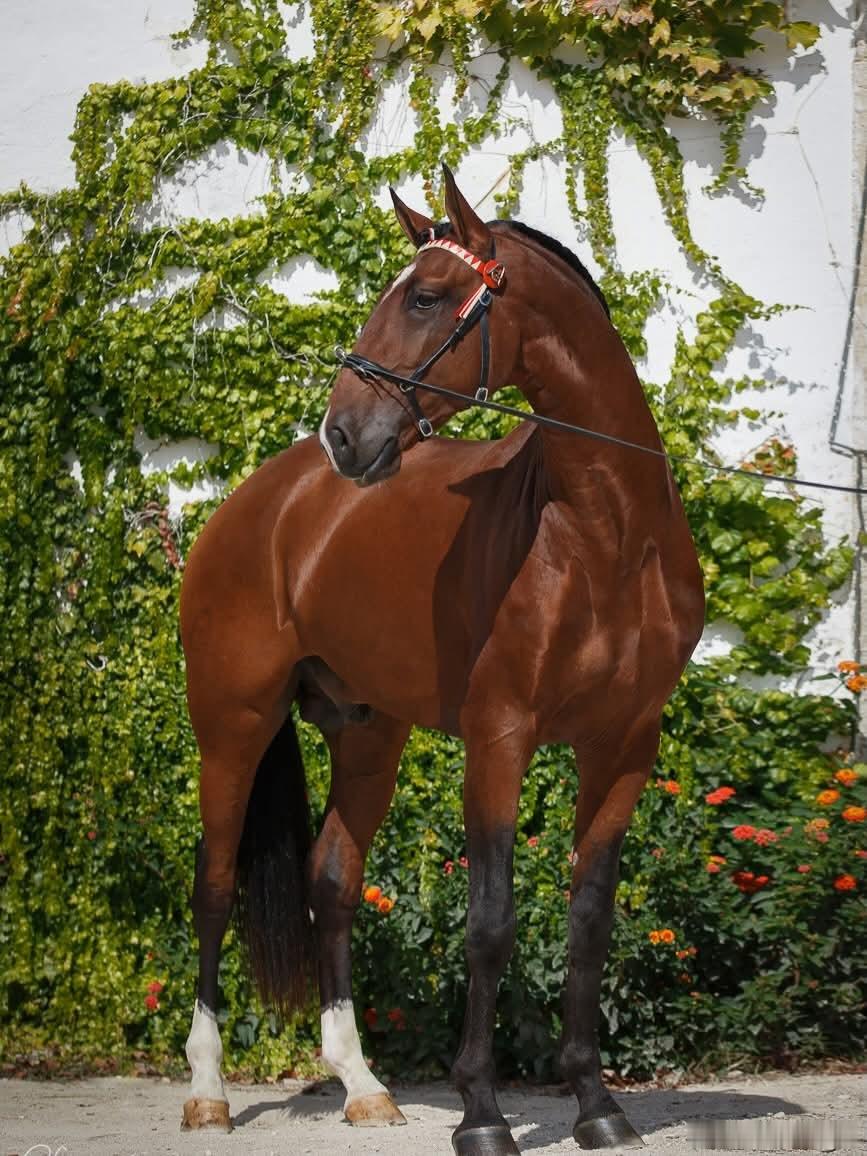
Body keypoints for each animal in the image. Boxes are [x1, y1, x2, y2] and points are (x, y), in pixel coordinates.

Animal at [178, 165, 705, 1154]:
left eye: (424, 297)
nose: (345, 435)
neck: (604, 537)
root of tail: (261, 500)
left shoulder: (623, 746)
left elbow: (589, 921)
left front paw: (596, 1104)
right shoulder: (498, 737)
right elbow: (490, 924)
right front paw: (482, 1113)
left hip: (367, 733)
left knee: (332, 882)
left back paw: (361, 1086)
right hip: (232, 724)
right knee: (215, 889)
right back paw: (208, 1091)